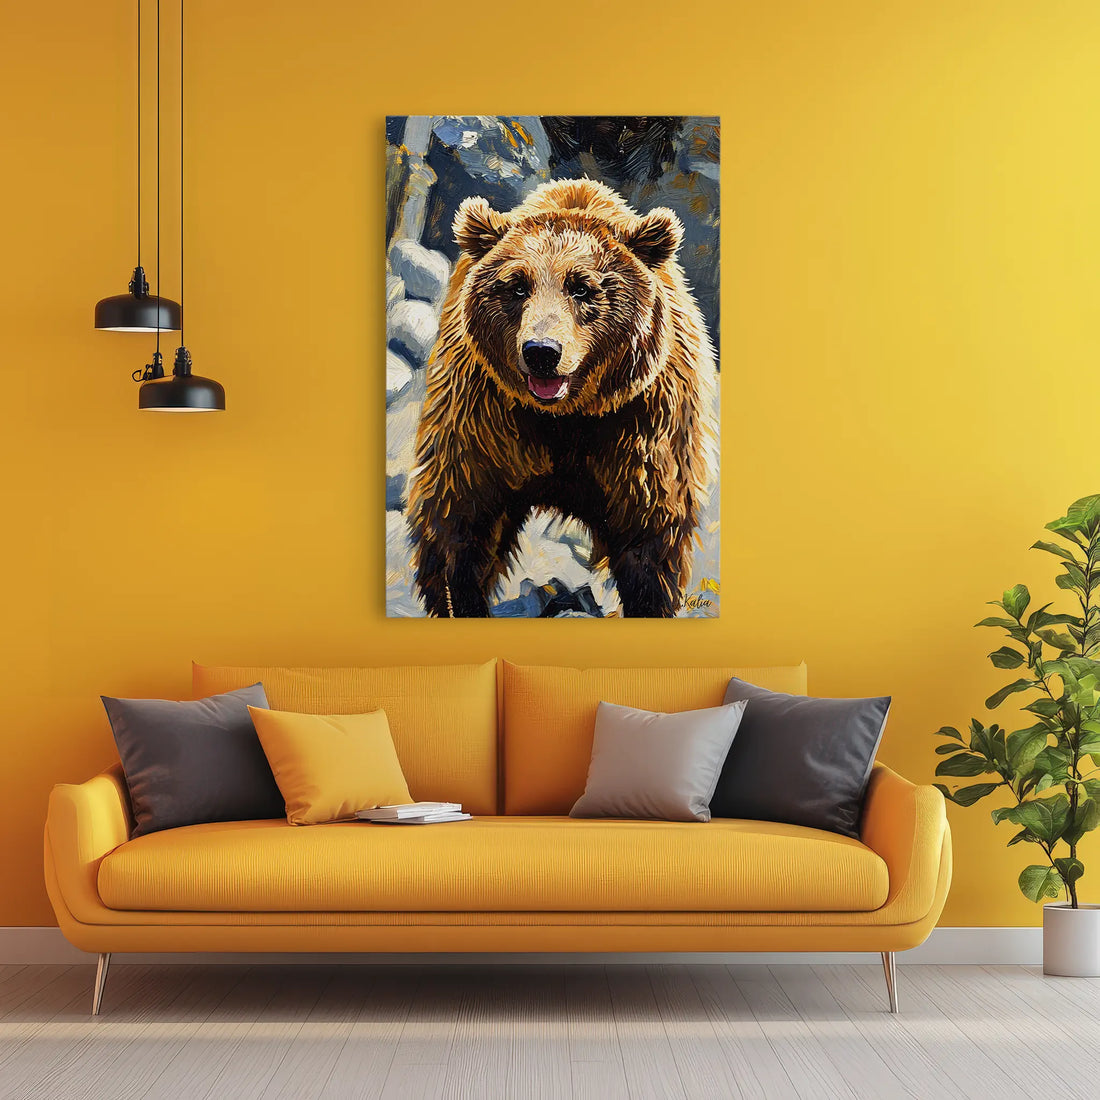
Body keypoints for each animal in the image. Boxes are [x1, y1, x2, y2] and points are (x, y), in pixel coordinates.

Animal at [406, 177, 717, 618]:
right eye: (517, 285)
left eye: (583, 287)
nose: (541, 351)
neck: (567, 413)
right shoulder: (484, 416)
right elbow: (460, 519)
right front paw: (462, 600)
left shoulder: (639, 425)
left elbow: (649, 540)